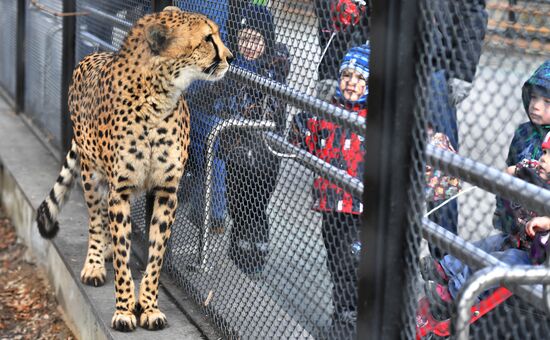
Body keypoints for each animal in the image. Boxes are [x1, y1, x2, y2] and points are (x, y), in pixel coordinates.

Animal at [34, 6, 233, 332]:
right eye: (207, 38)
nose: (230, 57)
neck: (158, 96)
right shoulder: (121, 191)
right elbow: (123, 257)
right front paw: (125, 310)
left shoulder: (166, 192)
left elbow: (156, 255)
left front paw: (149, 307)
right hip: (91, 175)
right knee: (96, 218)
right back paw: (95, 262)